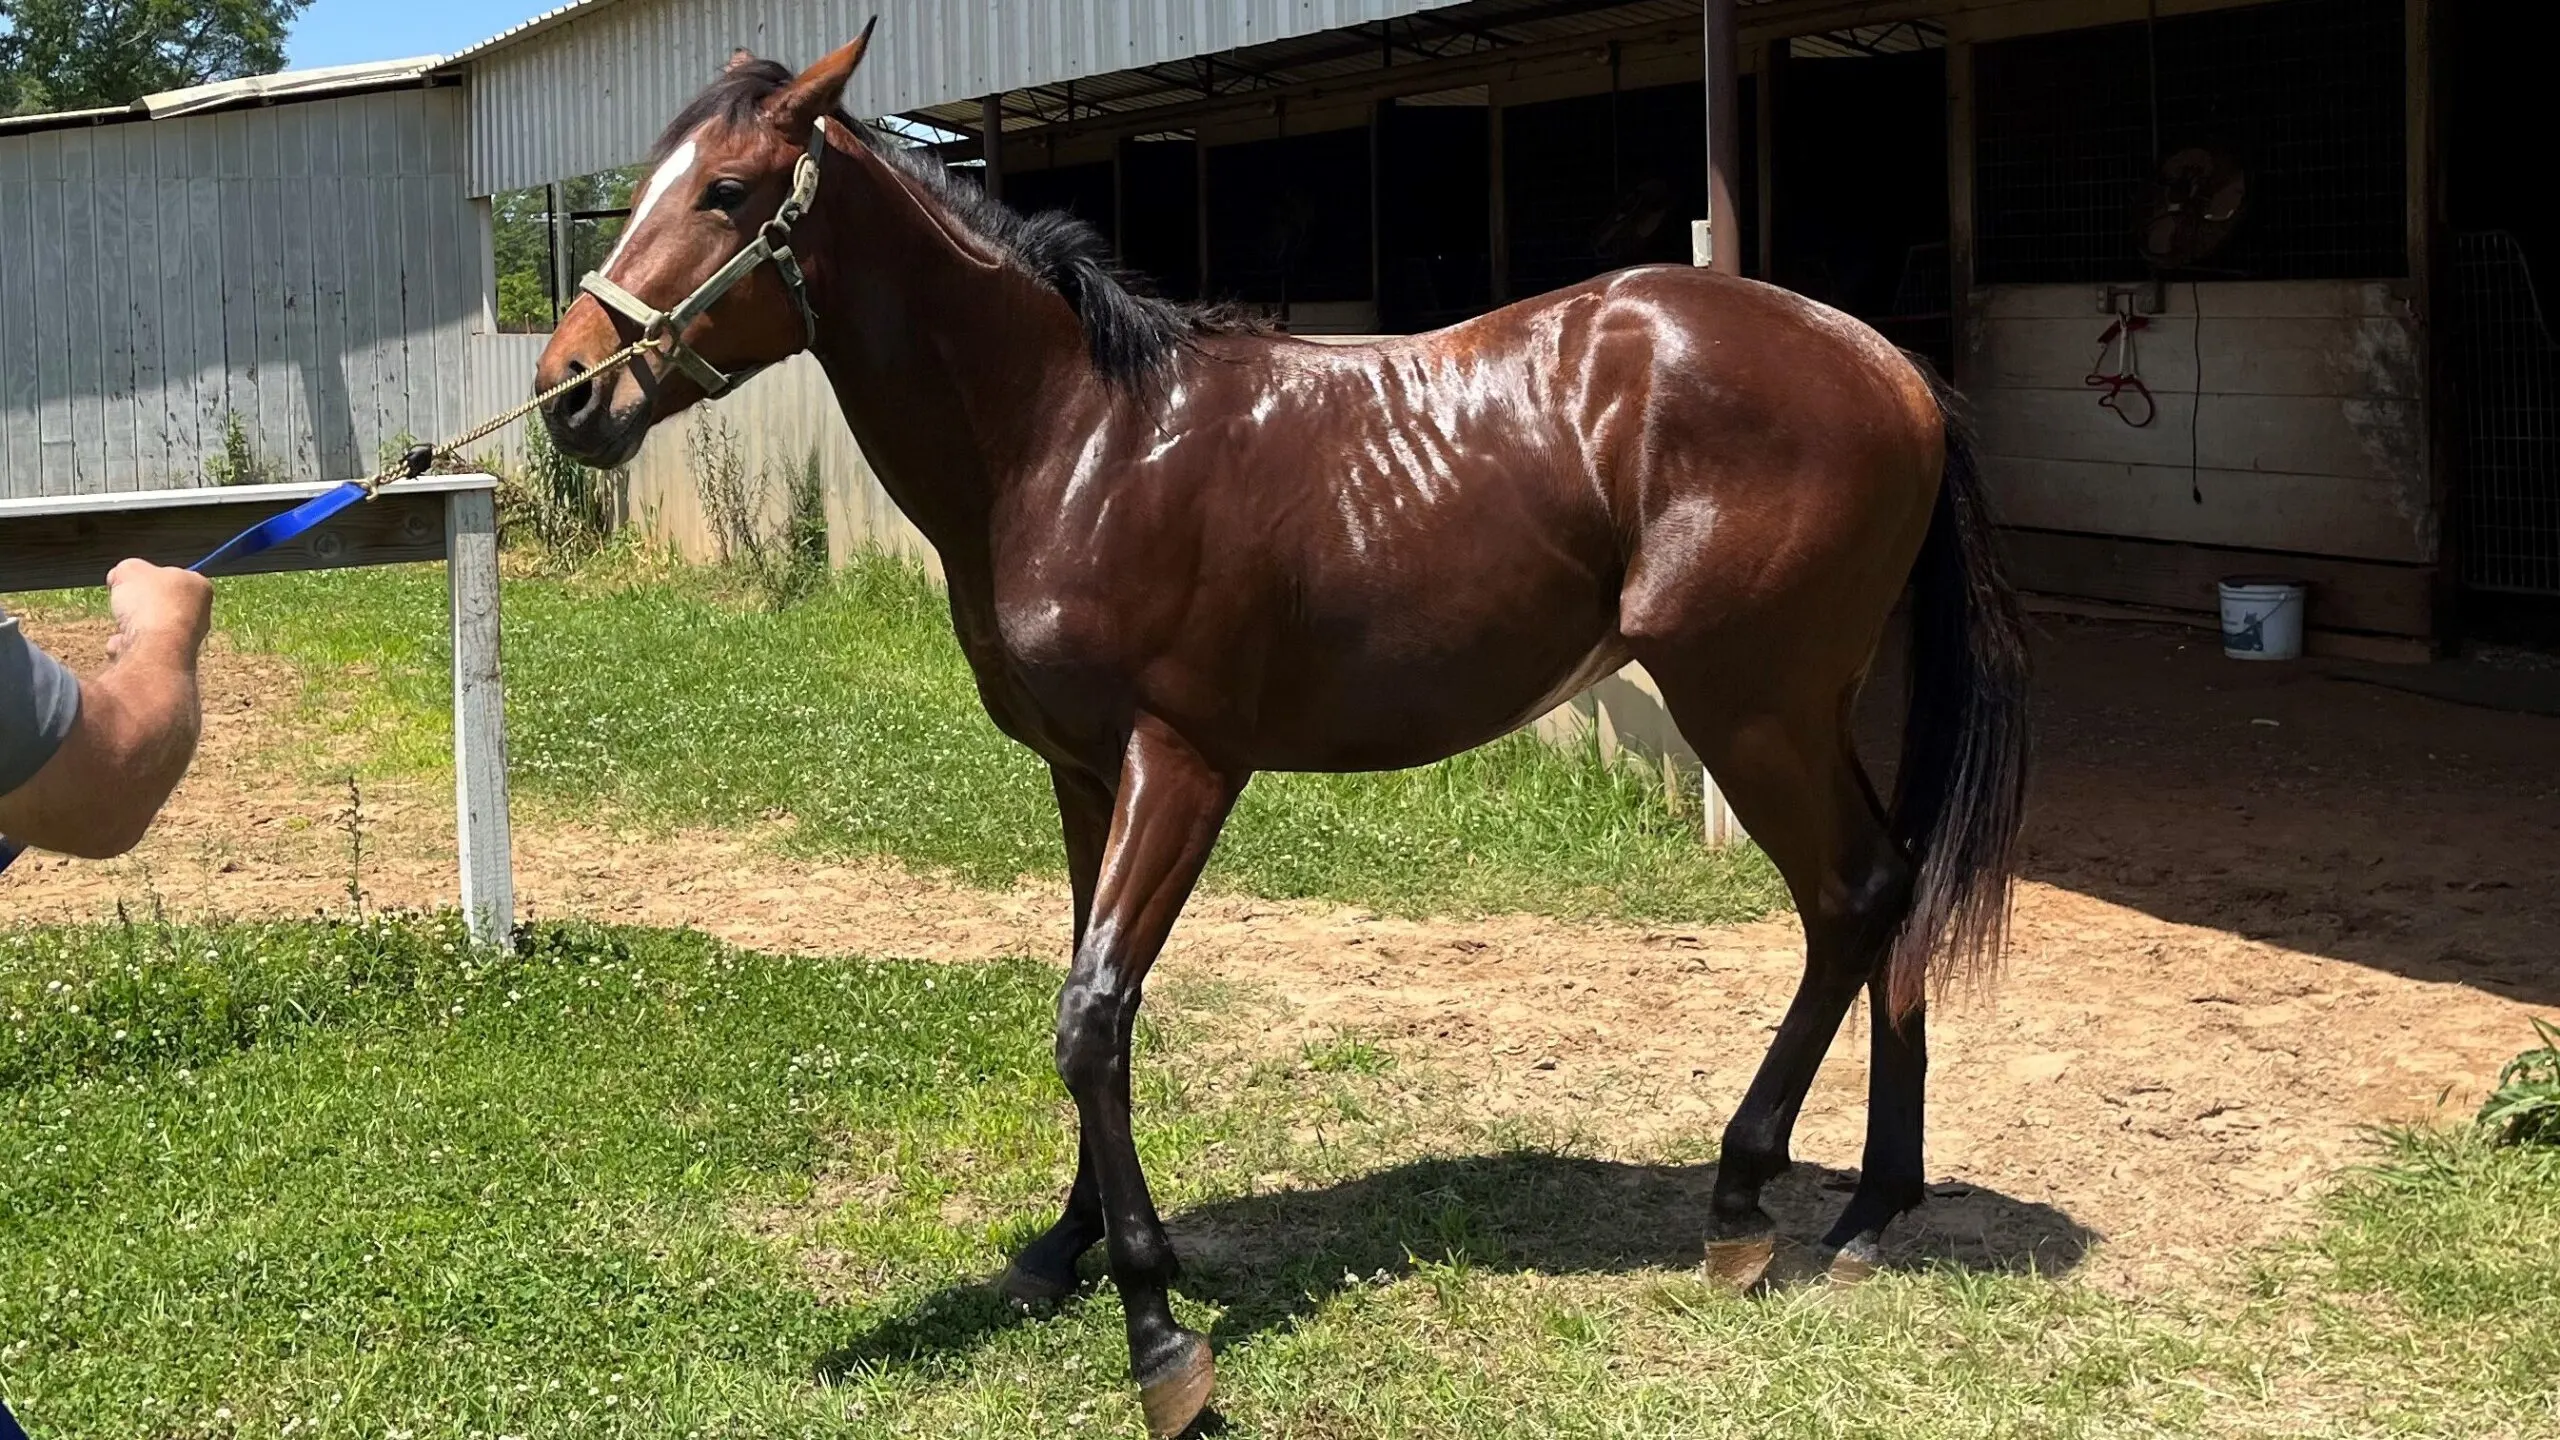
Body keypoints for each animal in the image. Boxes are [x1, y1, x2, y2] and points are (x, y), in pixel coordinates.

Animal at [545, 28, 2037, 1424]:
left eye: (729, 191)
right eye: (647, 184)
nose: (570, 391)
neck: (1077, 438)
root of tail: (1887, 364)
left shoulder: (1184, 768)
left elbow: (1093, 1015)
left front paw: (1158, 1337)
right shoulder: (1084, 776)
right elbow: (1091, 1009)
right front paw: (1064, 1248)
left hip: (1748, 703)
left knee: (1851, 897)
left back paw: (1742, 1203)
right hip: (1801, 706)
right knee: (1895, 891)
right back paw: (1872, 1212)